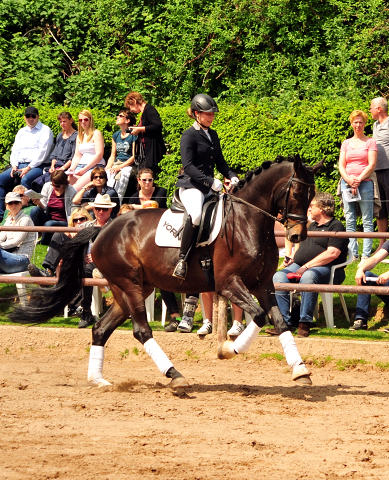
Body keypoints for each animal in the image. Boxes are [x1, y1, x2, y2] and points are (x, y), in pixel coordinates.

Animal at [11, 156, 322, 388]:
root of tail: (102, 229)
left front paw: (300, 370)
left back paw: (98, 380)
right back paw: (175, 376)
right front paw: (225, 351)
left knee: (101, 329)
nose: (297, 236)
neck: (248, 221)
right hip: (130, 286)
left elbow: (279, 322)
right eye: (297, 192)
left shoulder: (262, 284)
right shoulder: (229, 283)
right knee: (141, 330)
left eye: (312, 196)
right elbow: (258, 316)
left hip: (130, 289)